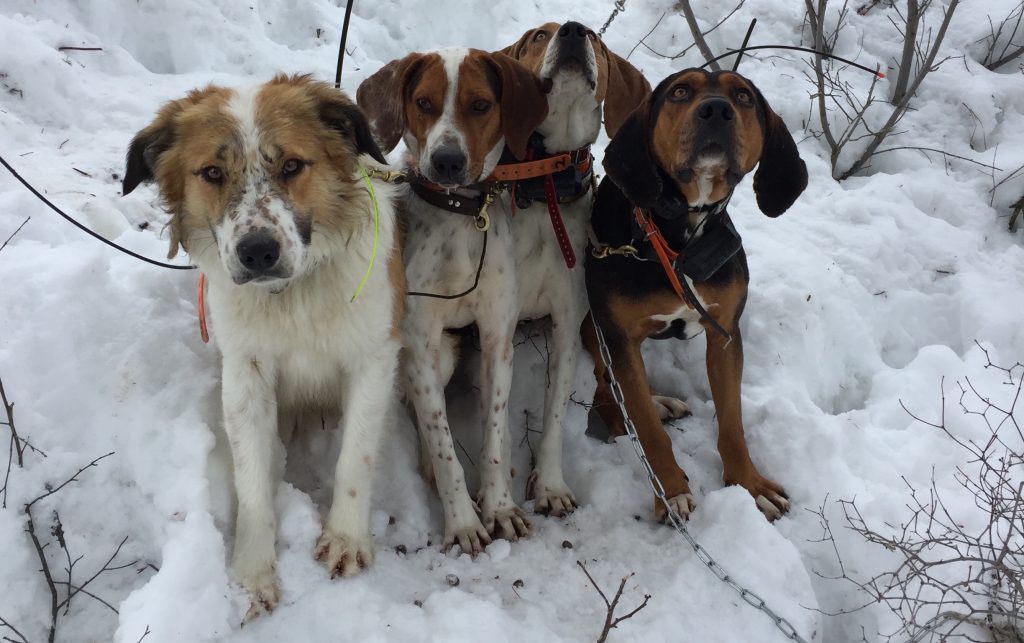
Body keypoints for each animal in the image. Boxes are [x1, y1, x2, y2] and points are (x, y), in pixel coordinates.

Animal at [123, 75, 403, 618]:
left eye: (291, 165)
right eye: (212, 172)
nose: (257, 252)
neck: (292, 296)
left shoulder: (373, 359)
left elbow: (354, 457)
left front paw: (345, 537)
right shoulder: (245, 371)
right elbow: (251, 475)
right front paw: (251, 573)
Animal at [360, 48, 552, 552]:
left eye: (480, 105)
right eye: (423, 103)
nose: (446, 161)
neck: (463, 217)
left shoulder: (498, 338)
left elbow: (493, 433)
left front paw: (500, 507)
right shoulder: (422, 346)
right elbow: (445, 447)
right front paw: (464, 522)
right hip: (437, 355)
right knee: (425, 421)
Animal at [499, 20, 651, 513]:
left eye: (596, 40)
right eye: (536, 36)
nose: (572, 30)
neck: (546, 180)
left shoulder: (568, 322)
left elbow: (555, 416)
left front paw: (549, 486)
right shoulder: (497, 321)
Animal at [585, 69, 806, 522]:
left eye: (743, 96)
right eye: (680, 91)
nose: (716, 110)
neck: (679, 234)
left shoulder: (725, 333)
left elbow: (732, 422)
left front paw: (749, 484)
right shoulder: (617, 337)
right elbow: (648, 432)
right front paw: (670, 492)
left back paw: (659, 400)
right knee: (605, 391)